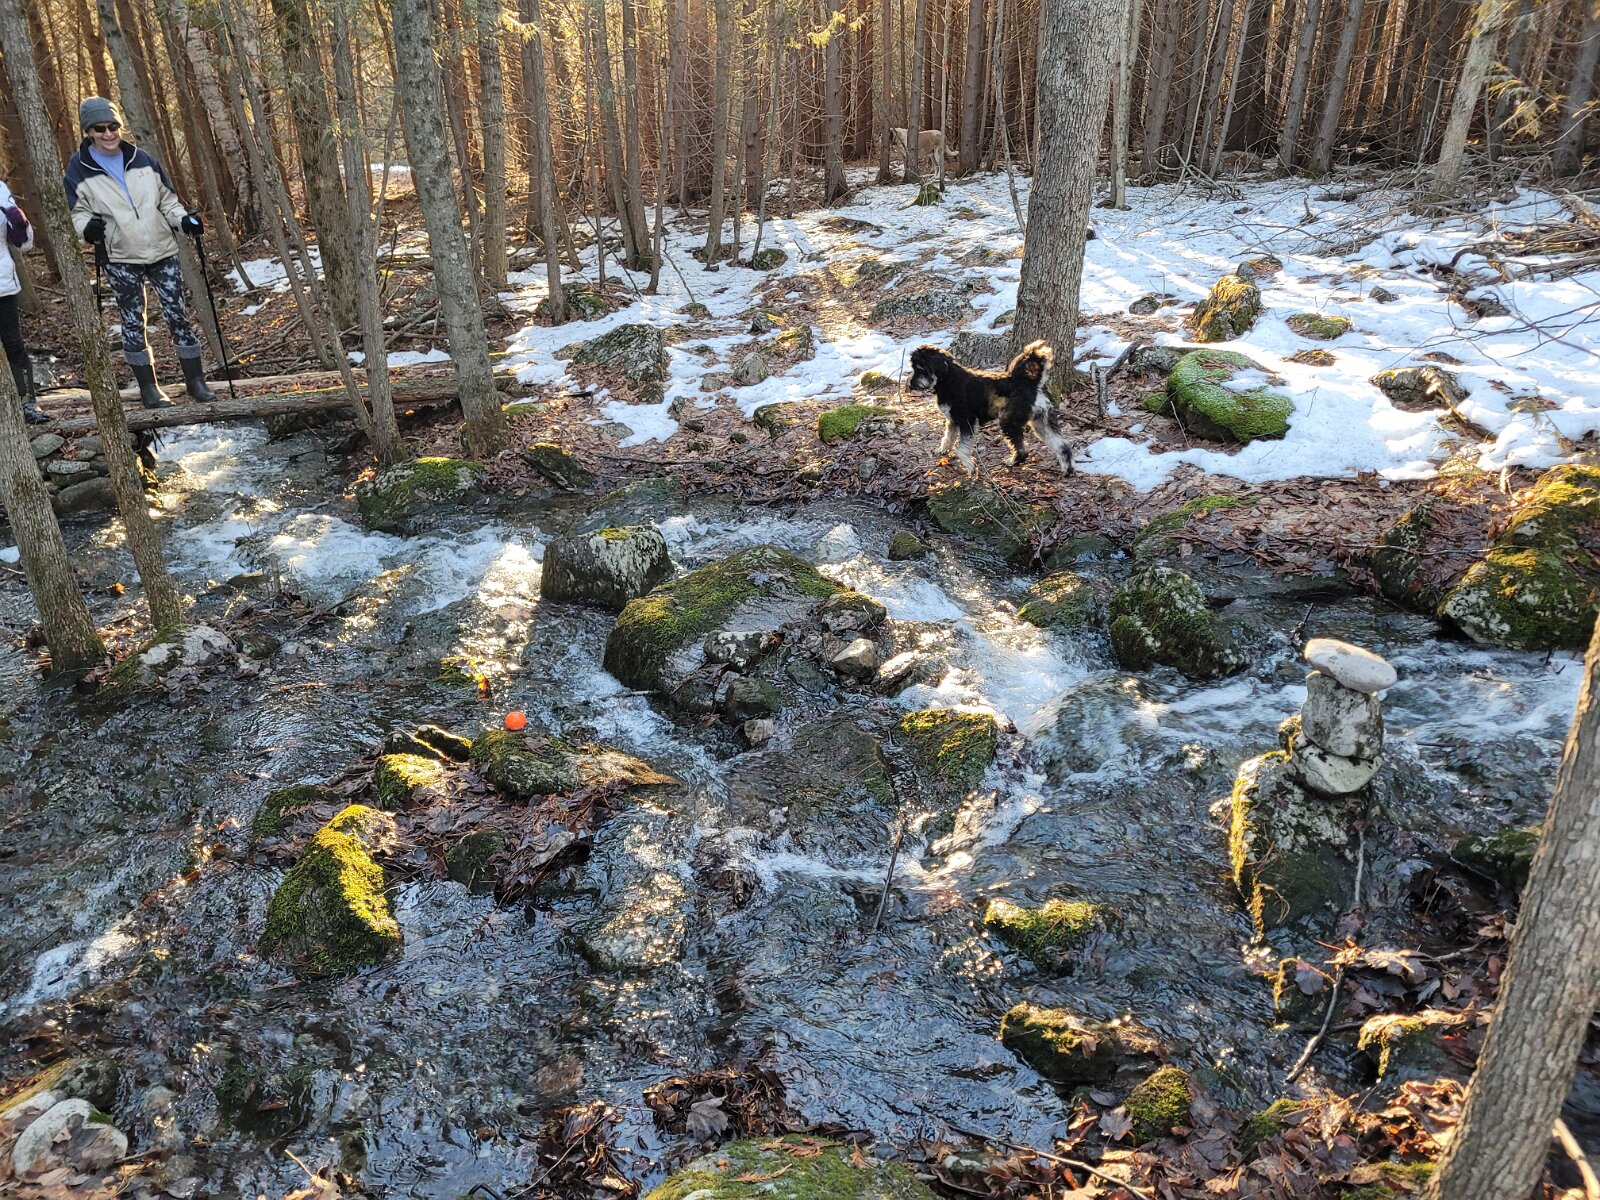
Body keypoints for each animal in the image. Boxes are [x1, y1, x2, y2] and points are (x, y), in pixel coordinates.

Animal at [906, 340, 1074, 476]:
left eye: (921, 368)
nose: (910, 384)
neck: (948, 379)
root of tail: (1032, 383)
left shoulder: (967, 421)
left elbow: (961, 448)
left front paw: (970, 466)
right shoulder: (953, 420)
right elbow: (948, 437)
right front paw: (942, 450)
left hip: (1009, 420)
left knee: (1023, 449)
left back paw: (1013, 461)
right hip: (1041, 421)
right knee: (1062, 444)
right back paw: (1068, 469)